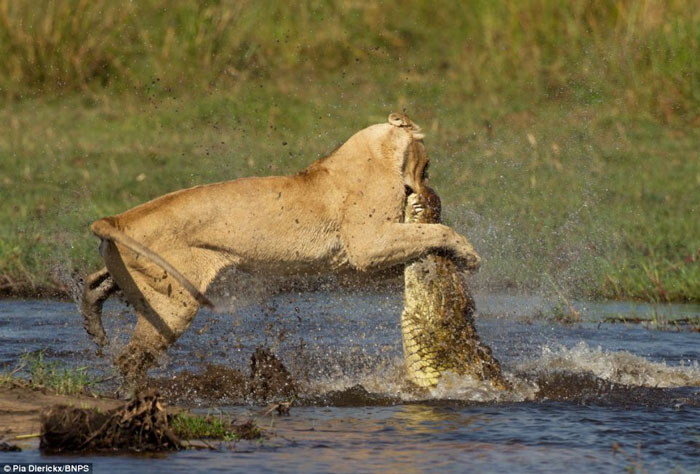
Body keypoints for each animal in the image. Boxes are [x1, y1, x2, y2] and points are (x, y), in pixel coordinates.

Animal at [80, 113, 481, 381]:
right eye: (427, 165)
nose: (432, 193)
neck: (378, 152)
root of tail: (118, 218)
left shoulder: (361, 259)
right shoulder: (368, 245)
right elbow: (438, 231)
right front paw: (469, 255)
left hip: (141, 278)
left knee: (96, 283)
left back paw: (93, 326)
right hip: (173, 303)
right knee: (130, 360)